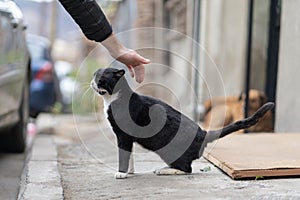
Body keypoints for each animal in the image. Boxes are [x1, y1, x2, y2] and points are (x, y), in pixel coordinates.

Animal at [91, 68, 274, 179]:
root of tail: (203, 133)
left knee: (187, 169)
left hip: (168, 150)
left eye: (101, 78)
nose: (92, 81)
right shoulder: (127, 137)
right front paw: (129, 172)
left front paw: (121, 173)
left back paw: (165, 170)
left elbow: (123, 154)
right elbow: (129, 155)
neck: (113, 98)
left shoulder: (123, 135)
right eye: (94, 75)